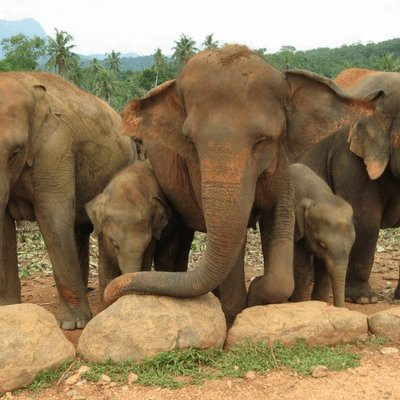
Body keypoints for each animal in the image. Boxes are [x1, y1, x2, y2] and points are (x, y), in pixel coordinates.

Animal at [0, 72, 134, 328]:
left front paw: (74, 325)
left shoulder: (55, 149)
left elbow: (52, 219)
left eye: (16, 152)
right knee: (77, 230)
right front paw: (8, 310)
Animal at [86, 161, 193, 298]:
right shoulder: (102, 237)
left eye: (146, 244)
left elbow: (146, 264)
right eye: (115, 244)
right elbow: (105, 271)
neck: (126, 187)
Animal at [288, 162, 356, 306]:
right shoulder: (297, 229)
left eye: (350, 246)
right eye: (322, 244)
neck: (318, 195)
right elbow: (301, 263)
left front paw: (319, 302)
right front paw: (301, 302)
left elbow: (323, 267)